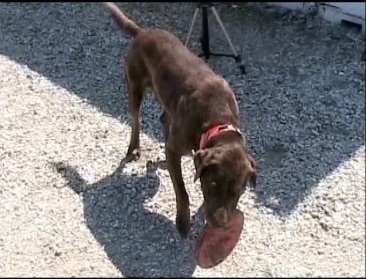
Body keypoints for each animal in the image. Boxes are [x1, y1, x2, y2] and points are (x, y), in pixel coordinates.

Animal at [102, 2, 258, 238]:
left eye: (238, 191)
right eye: (213, 184)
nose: (218, 224)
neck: (216, 120)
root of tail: (143, 32)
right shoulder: (177, 148)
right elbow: (182, 191)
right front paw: (183, 221)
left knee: (163, 118)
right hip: (135, 86)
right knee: (135, 119)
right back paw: (134, 148)